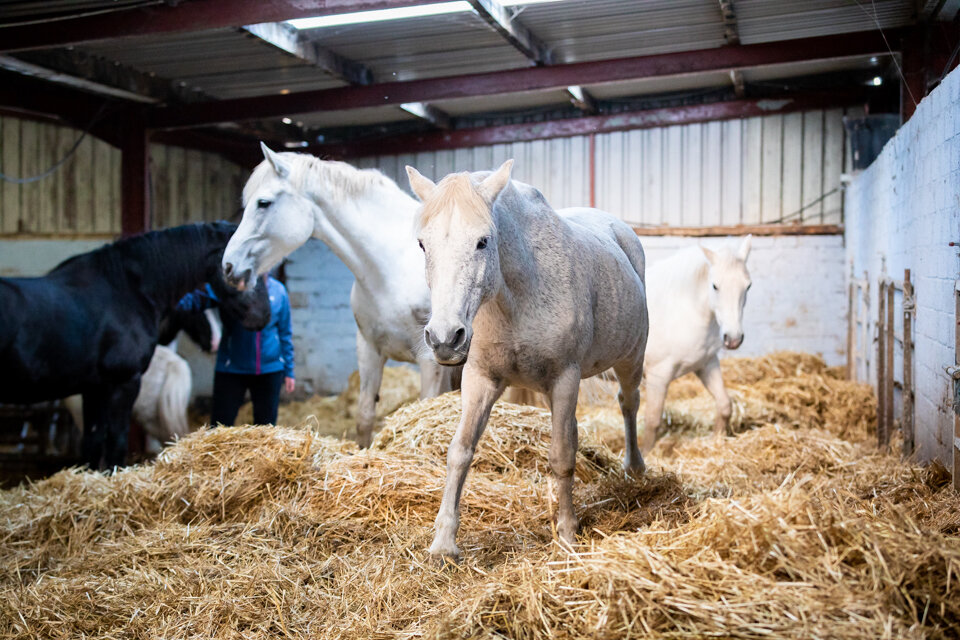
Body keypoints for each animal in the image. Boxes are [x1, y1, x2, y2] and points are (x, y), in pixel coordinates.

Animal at [0, 224, 268, 470]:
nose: (263, 316)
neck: (128, 289)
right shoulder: (124, 382)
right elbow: (116, 441)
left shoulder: (94, 388)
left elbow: (93, 442)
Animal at [220, 144, 458, 444]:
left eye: (264, 203)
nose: (229, 267)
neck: (390, 265)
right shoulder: (369, 349)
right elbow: (365, 417)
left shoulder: (429, 359)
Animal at [408, 160, 648, 560]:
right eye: (423, 243)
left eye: (483, 241)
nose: (444, 338)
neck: (518, 295)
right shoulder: (480, 379)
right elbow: (460, 451)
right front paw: (443, 542)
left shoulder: (565, 378)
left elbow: (562, 456)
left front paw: (566, 534)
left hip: (631, 360)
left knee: (628, 406)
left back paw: (635, 469)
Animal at [640, 238, 752, 452]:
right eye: (715, 286)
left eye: (748, 286)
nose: (733, 339)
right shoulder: (658, 376)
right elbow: (652, 421)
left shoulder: (707, 364)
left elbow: (725, 406)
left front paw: (717, 441)